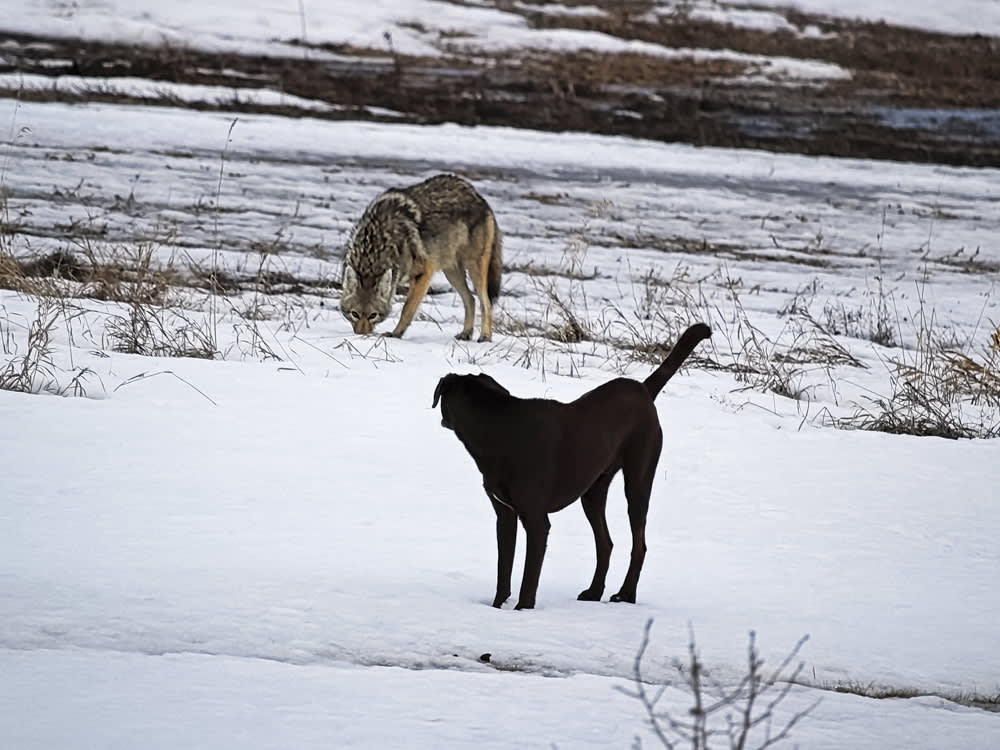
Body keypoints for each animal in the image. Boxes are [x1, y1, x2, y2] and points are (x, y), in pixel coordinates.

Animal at [432, 324, 712, 612]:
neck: (496, 428)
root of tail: (643, 390)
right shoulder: (505, 515)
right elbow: (504, 570)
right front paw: (497, 607)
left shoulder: (536, 520)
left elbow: (529, 577)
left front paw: (523, 610)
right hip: (593, 490)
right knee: (605, 543)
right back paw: (594, 591)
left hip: (638, 479)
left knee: (639, 544)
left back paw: (626, 594)